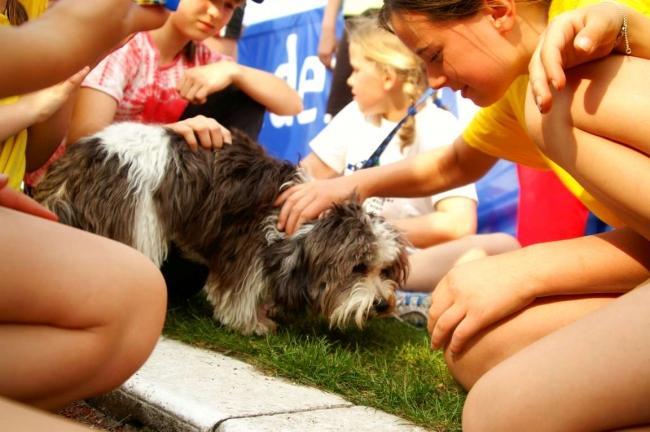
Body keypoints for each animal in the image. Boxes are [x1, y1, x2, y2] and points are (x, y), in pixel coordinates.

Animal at [33, 123, 408, 336]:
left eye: (385, 270)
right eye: (359, 267)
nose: (381, 304)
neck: (305, 229)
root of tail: (87, 154)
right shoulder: (248, 247)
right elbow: (241, 291)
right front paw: (251, 323)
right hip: (137, 223)